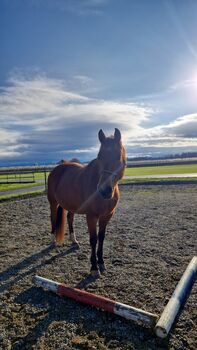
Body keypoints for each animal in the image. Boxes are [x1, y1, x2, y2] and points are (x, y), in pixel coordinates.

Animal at [48, 129, 127, 276]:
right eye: (99, 156)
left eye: (118, 156)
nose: (104, 190)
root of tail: (57, 168)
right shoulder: (91, 216)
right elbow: (93, 239)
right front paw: (94, 267)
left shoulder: (106, 216)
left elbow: (101, 238)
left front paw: (101, 263)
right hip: (53, 203)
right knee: (53, 219)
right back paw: (53, 241)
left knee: (69, 218)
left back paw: (74, 240)